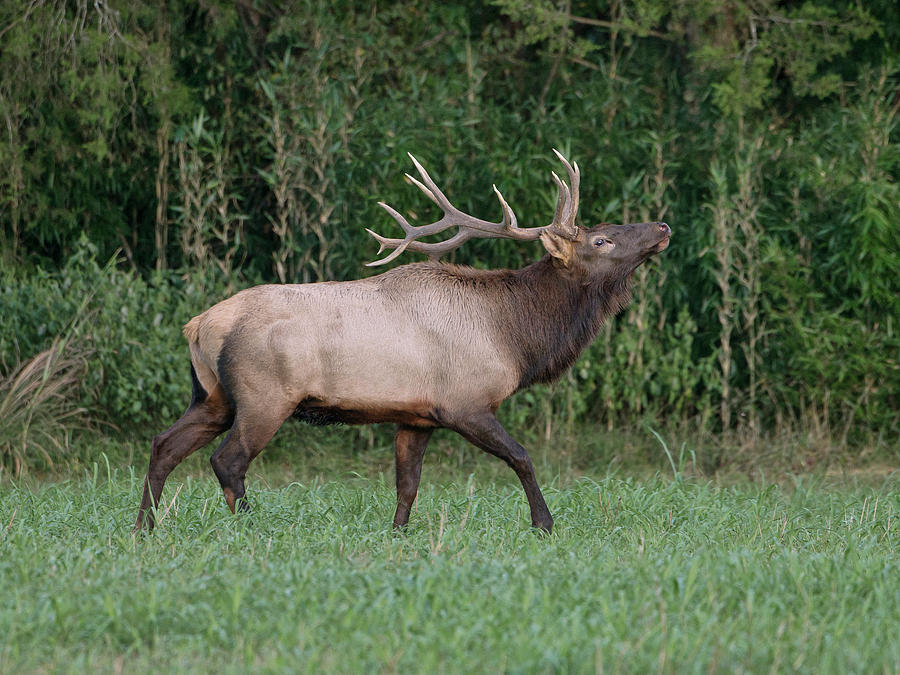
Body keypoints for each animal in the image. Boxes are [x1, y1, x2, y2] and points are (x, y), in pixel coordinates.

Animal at [132, 152, 668, 532]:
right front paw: (545, 525)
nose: (662, 226)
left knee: (163, 445)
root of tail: (199, 325)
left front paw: (397, 534)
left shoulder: (417, 415)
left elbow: (406, 486)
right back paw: (250, 527)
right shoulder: (465, 403)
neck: (516, 337)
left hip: (212, 396)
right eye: (601, 240)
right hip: (265, 395)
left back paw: (144, 528)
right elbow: (522, 456)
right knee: (227, 461)